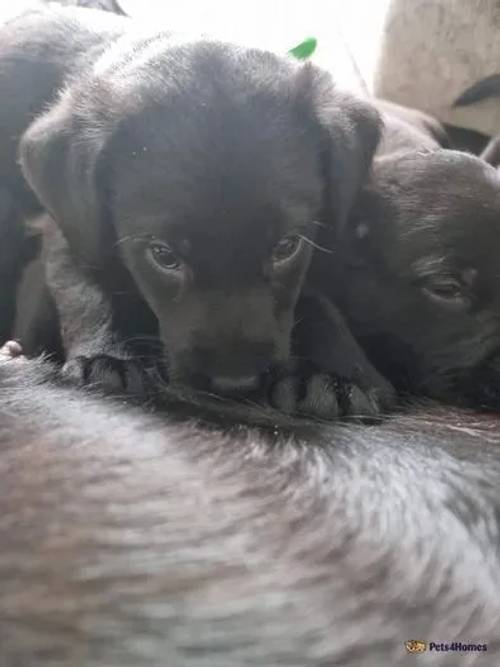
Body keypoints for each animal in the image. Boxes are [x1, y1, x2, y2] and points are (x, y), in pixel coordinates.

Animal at [0, 6, 392, 418]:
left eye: (286, 247)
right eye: (163, 255)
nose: (236, 383)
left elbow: (315, 299)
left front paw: (332, 373)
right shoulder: (72, 230)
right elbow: (89, 292)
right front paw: (109, 358)